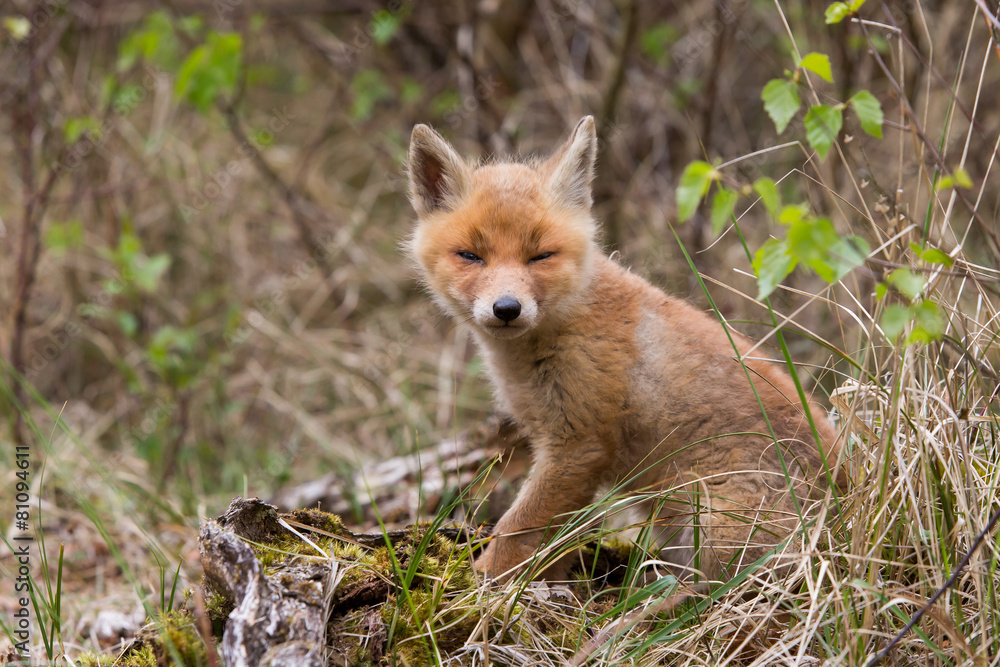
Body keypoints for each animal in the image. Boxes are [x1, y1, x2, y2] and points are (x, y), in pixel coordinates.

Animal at [406, 116, 847, 582]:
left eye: (541, 256)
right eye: (470, 255)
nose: (507, 308)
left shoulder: (579, 445)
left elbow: (516, 527)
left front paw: (480, 585)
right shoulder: (558, 445)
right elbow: (547, 544)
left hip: (714, 522)